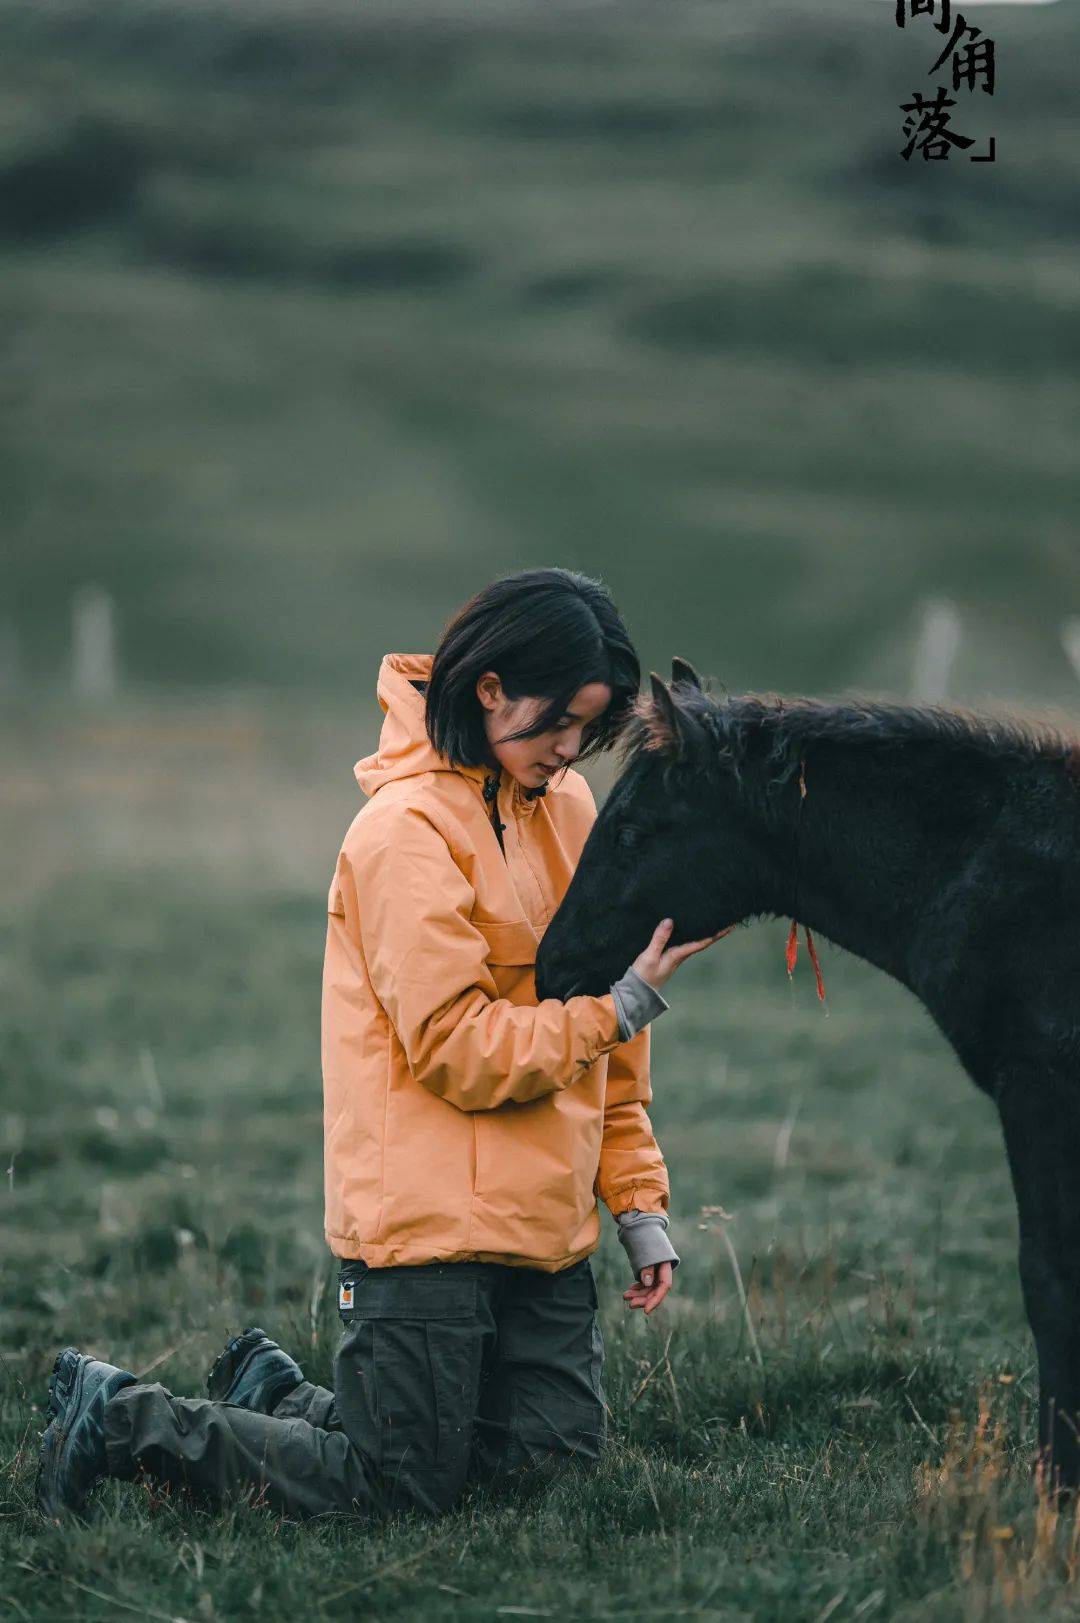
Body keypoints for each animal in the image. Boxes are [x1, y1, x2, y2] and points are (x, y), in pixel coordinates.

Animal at [535, 655, 1078, 1486]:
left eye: (630, 829)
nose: (549, 968)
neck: (988, 867)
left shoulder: (1038, 1086)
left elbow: (1048, 1275)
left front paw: (1059, 1476)